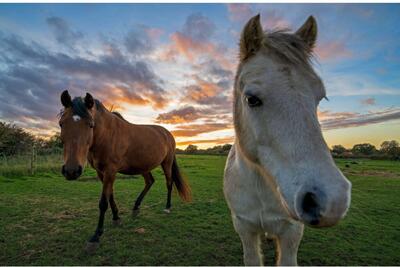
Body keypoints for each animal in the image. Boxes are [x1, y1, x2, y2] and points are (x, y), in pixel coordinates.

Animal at [58, 91, 191, 252]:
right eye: (61, 123)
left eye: (90, 125)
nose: (71, 171)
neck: (106, 135)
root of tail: (168, 134)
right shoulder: (102, 173)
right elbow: (110, 196)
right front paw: (116, 218)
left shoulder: (110, 171)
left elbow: (103, 202)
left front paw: (96, 236)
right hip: (143, 166)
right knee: (150, 181)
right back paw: (136, 207)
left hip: (167, 163)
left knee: (169, 183)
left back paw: (167, 208)